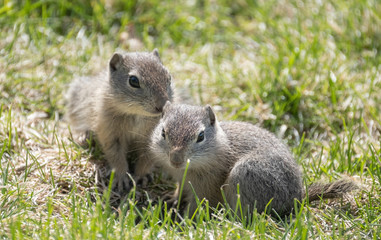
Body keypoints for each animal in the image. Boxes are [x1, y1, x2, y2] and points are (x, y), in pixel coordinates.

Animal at [66, 49, 173, 192]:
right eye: (133, 81)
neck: (137, 114)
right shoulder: (110, 133)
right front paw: (121, 178)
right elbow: (116, 156)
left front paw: (142, 175)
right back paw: (83, 136)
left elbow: (147, 157)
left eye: (169, 77)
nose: (163, 106)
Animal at [149, 102, 356, 218]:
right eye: (163, 132)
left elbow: (199, 206)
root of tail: (296, 199)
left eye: (200, 136)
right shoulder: (181, 179)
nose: (176, 159)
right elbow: (180, 190)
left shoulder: (207, 187)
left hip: (246, 173)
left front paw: (186, 222)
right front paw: (171, 199)